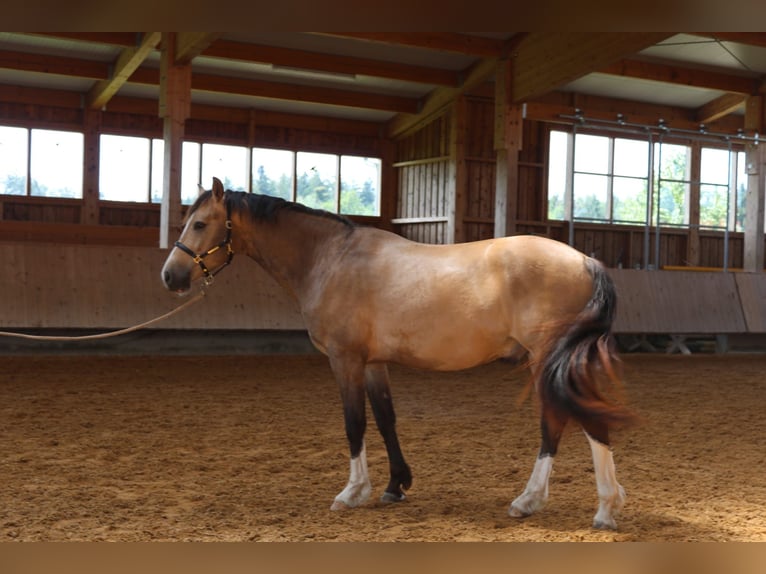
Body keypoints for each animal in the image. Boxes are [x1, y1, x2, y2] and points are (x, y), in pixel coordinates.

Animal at [161, 177, 635, 530]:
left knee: (564, 422)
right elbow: (386, 419)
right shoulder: (374, 364)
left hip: (547, 360)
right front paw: (395, 486)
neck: (331, 258)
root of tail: (587, 261)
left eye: (200, 223)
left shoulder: (345, 360)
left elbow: (354, 423)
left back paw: (565, 505)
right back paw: (581, 504)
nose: (170, 276)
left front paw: (352, 492)